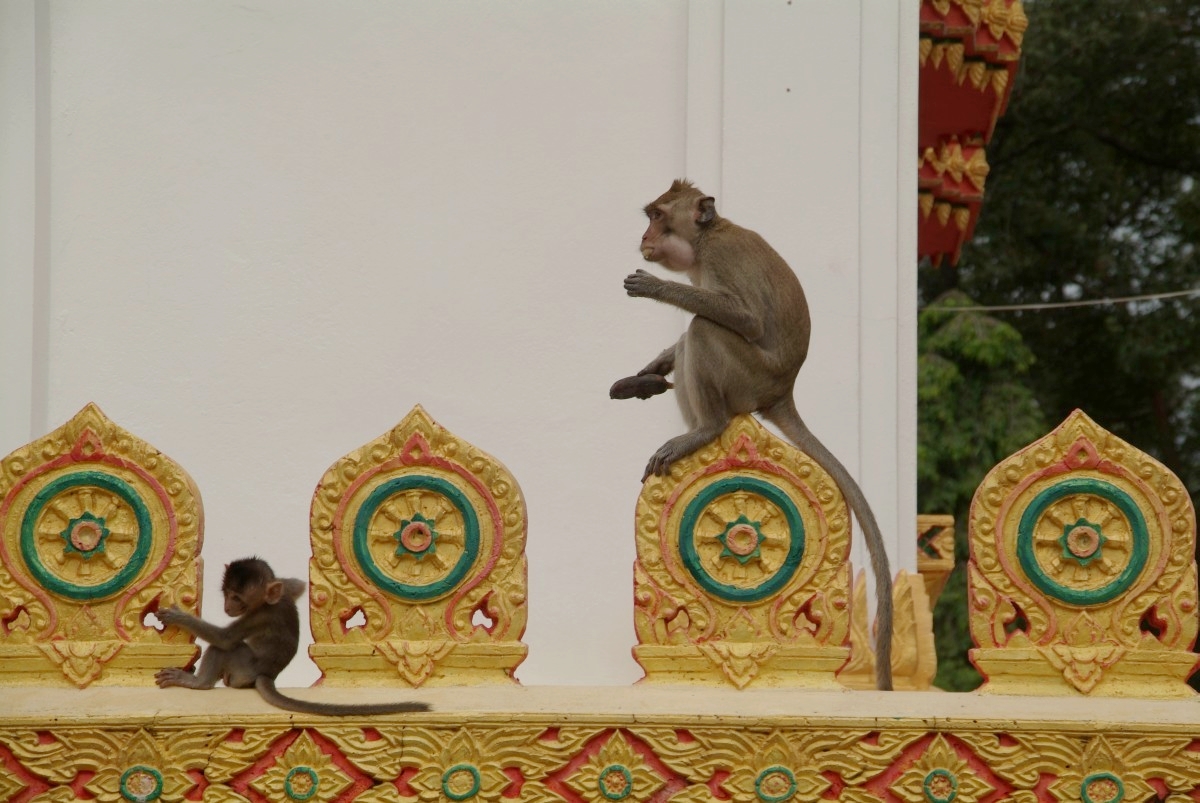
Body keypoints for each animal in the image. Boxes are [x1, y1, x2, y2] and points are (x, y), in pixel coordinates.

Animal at [154, 557, 430, 715]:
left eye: (237, 598)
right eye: (226, 593)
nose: (228, 607)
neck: (269, 602)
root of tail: (267, 675)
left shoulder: (260, 616)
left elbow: (224, 638)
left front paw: (178, 617)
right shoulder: (284, 591)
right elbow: (298, 585)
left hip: (243, 669)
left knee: (226, 648)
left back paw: (197, 682)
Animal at [609, 179, 894, 690]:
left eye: (659, 216)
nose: (645, 236)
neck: (706, 238)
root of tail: (783, 390)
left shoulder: (720, 258)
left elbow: (745, 320)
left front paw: (657, 288)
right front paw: (650, 369)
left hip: (748, 378)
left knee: (704, 328)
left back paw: (704, 430)